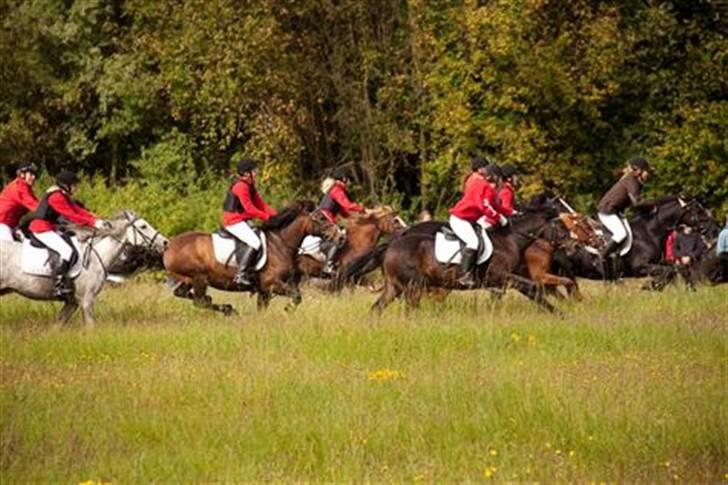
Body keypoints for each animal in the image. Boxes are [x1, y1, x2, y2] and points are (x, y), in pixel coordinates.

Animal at [0, 209, 166, 326]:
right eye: (143, 226)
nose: (165, 242)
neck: (96, 256)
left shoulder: (72, 303)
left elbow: (58, 325)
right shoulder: (86, 300)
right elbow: (91, 327)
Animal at [164, 199, 336, 314]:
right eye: (321, 217)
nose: (338, 234)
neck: (280, 243)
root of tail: (169, 246)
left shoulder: (264, 291)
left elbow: (263, 309)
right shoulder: (271, 284)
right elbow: (297, 297)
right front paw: (287, 310)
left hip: (188, 279)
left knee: (182, 294)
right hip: (199, 278)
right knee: (199, 301)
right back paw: (228, 309)